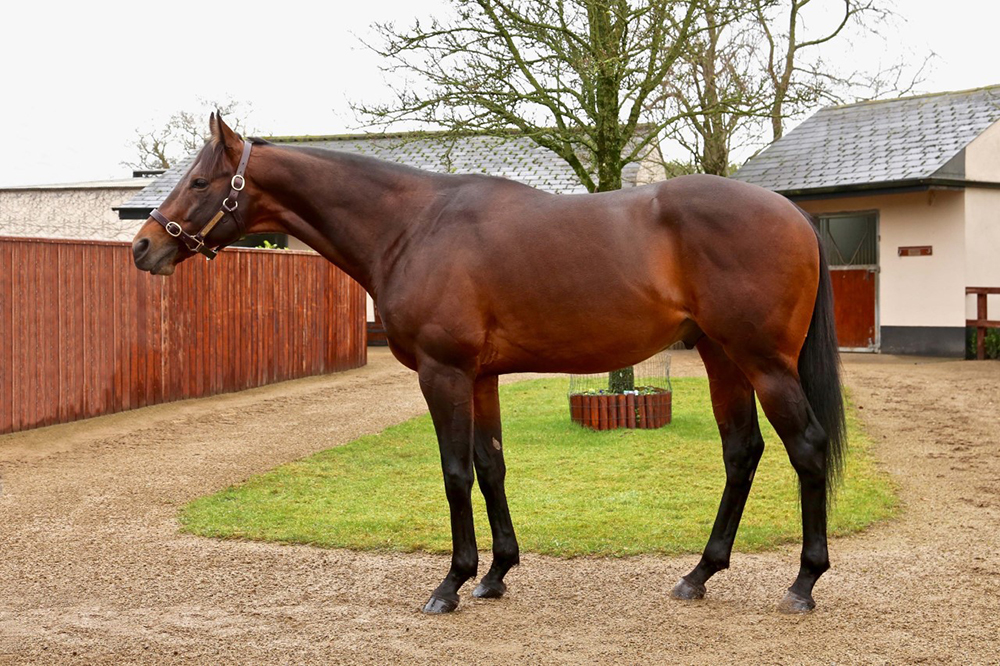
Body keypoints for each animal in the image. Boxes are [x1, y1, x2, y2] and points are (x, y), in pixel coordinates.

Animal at [129, 114, 840, 612]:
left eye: (199, 182)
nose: (143, 246)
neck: (412, 225)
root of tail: (792, 214)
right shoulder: (481, 377)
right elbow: (491, 465)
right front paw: (496, 574)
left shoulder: (442, 373)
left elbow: (454, 472)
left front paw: (451, 581)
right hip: (724, 357)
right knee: (741, 451)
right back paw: (699, 574)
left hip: (763, 362)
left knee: (805, 447)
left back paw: (804, 583)